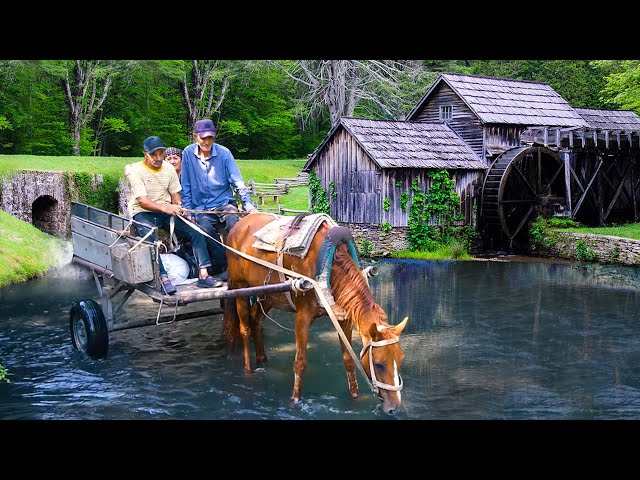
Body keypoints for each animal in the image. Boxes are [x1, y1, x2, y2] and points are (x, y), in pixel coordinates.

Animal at [222, 212, 408, 414]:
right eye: (379, 364)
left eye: (401, 358)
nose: (395, 407)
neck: (327, 266)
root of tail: (238, 224)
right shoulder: (302, 316)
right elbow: (300, 362)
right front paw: (295, 400)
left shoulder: (343, 318)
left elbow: (348, 360)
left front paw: (355, 397)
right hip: (240, 288)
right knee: (245, 328)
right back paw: (248, 371)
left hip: (267, 295)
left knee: (257, 323)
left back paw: (262, 360)